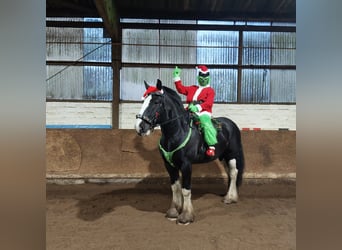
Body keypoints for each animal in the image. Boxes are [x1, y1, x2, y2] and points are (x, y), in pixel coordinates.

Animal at [135, 79, 244, 224]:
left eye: (156, 102)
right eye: (144, 101)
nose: (140, 127)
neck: (176, 133)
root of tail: (231, 124)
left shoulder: (186, 165)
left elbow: (185, 190)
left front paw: (186, 216)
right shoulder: (169, 165)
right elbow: (175, 187)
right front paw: (173, 211)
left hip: (232, 154)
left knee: (233, 172)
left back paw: (230, 198)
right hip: (223, 157)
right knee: (230, 173)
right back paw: (227, 194)